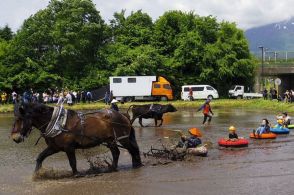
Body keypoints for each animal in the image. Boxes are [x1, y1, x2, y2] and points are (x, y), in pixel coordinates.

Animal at [12, 103, 143, 174]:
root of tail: (123, 115)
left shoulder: (69, 148)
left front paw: (76, 174)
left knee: (133, 150)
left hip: (123, 138)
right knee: (116, 152)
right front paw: (36, 174)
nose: (14, 138)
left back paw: (136, 165)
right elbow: (40, 157)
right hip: (110, 140)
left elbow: (72, 162)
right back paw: (112, 167)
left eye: (20, 119)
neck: (58, 123)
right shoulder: (54, 147)